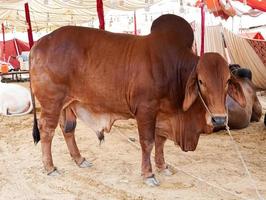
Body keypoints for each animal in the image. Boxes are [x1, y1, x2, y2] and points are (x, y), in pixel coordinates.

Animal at [29, 14, 245, 187]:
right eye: (201, 81)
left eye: (227, 81)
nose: (219, 119)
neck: (174, 69)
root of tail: (38, 44)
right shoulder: (146, 110)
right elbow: (148, 142)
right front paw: (149, 174)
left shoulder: (162, 114)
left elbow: (160, 140)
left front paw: (162, 166)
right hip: (51, 102)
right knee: (47, 131)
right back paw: (50, 167)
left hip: (68, 104)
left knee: (68, 129)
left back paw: (79, 159)